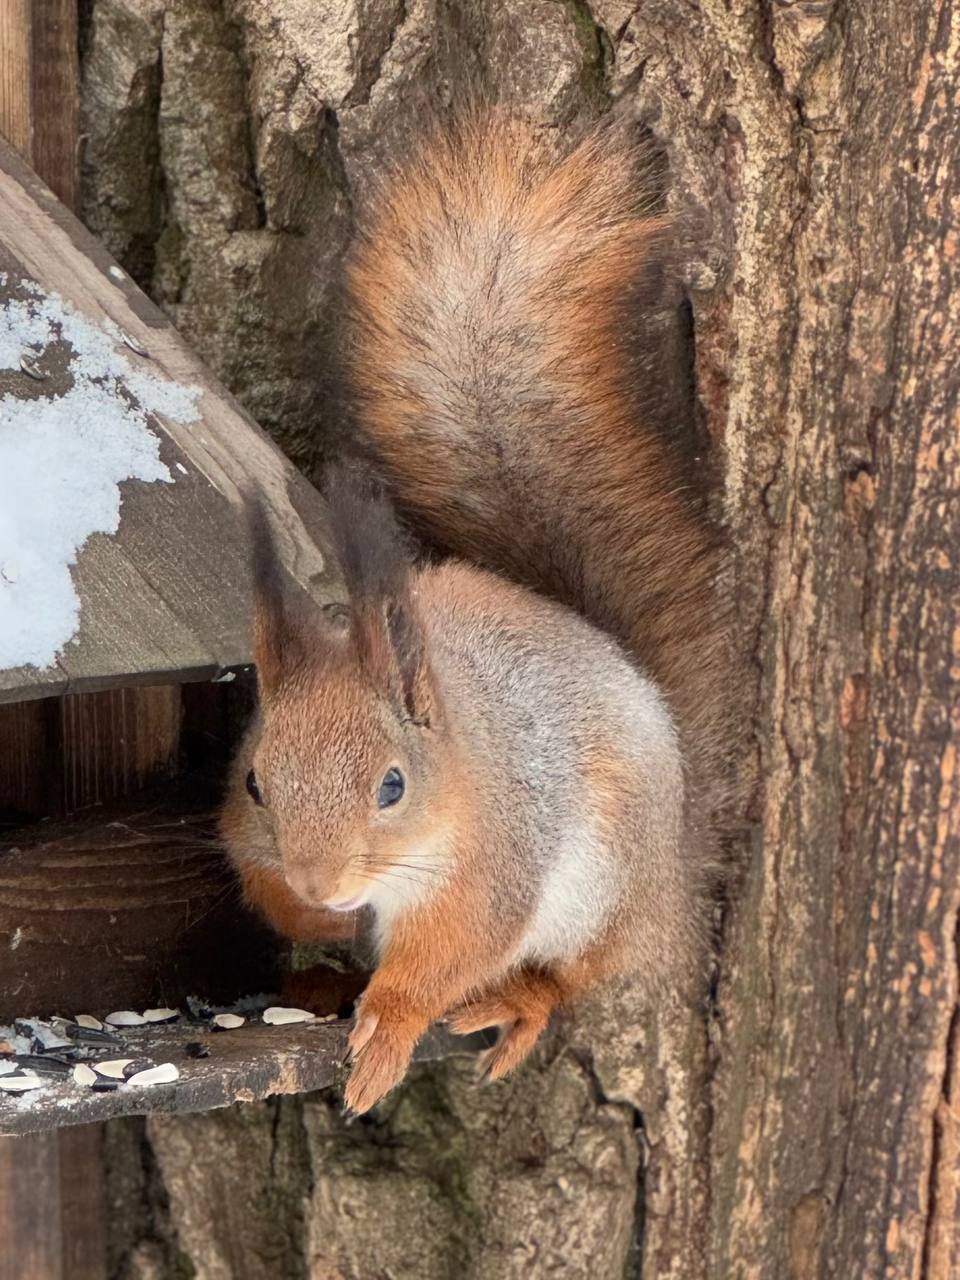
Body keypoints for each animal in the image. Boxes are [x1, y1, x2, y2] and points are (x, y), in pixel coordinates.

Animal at [220, 112, 727, 1111]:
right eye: (257, 780)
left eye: (392, 785)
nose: (322, 881)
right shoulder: (250, 837)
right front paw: (313, 924)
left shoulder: (489, 867)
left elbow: (448, 955)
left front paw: (387, 1027)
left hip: (607, 891)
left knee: (573, 973)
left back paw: (515, 1001)